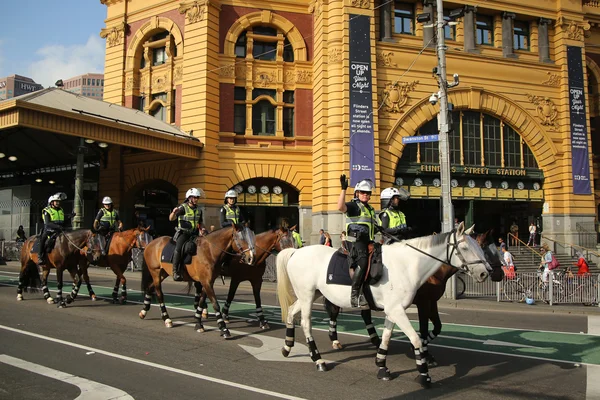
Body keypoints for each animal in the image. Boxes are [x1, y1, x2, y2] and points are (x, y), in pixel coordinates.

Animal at [326, 231, 504, 372]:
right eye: (482, 248)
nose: (496, 274)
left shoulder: (432, 301)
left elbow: (437, 327)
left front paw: (421, 350)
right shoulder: (423, 303)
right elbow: (424, 329)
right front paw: (422, 352)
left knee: (364, 315)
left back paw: (375, 341)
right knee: (334, 311)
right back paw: (335, 340)